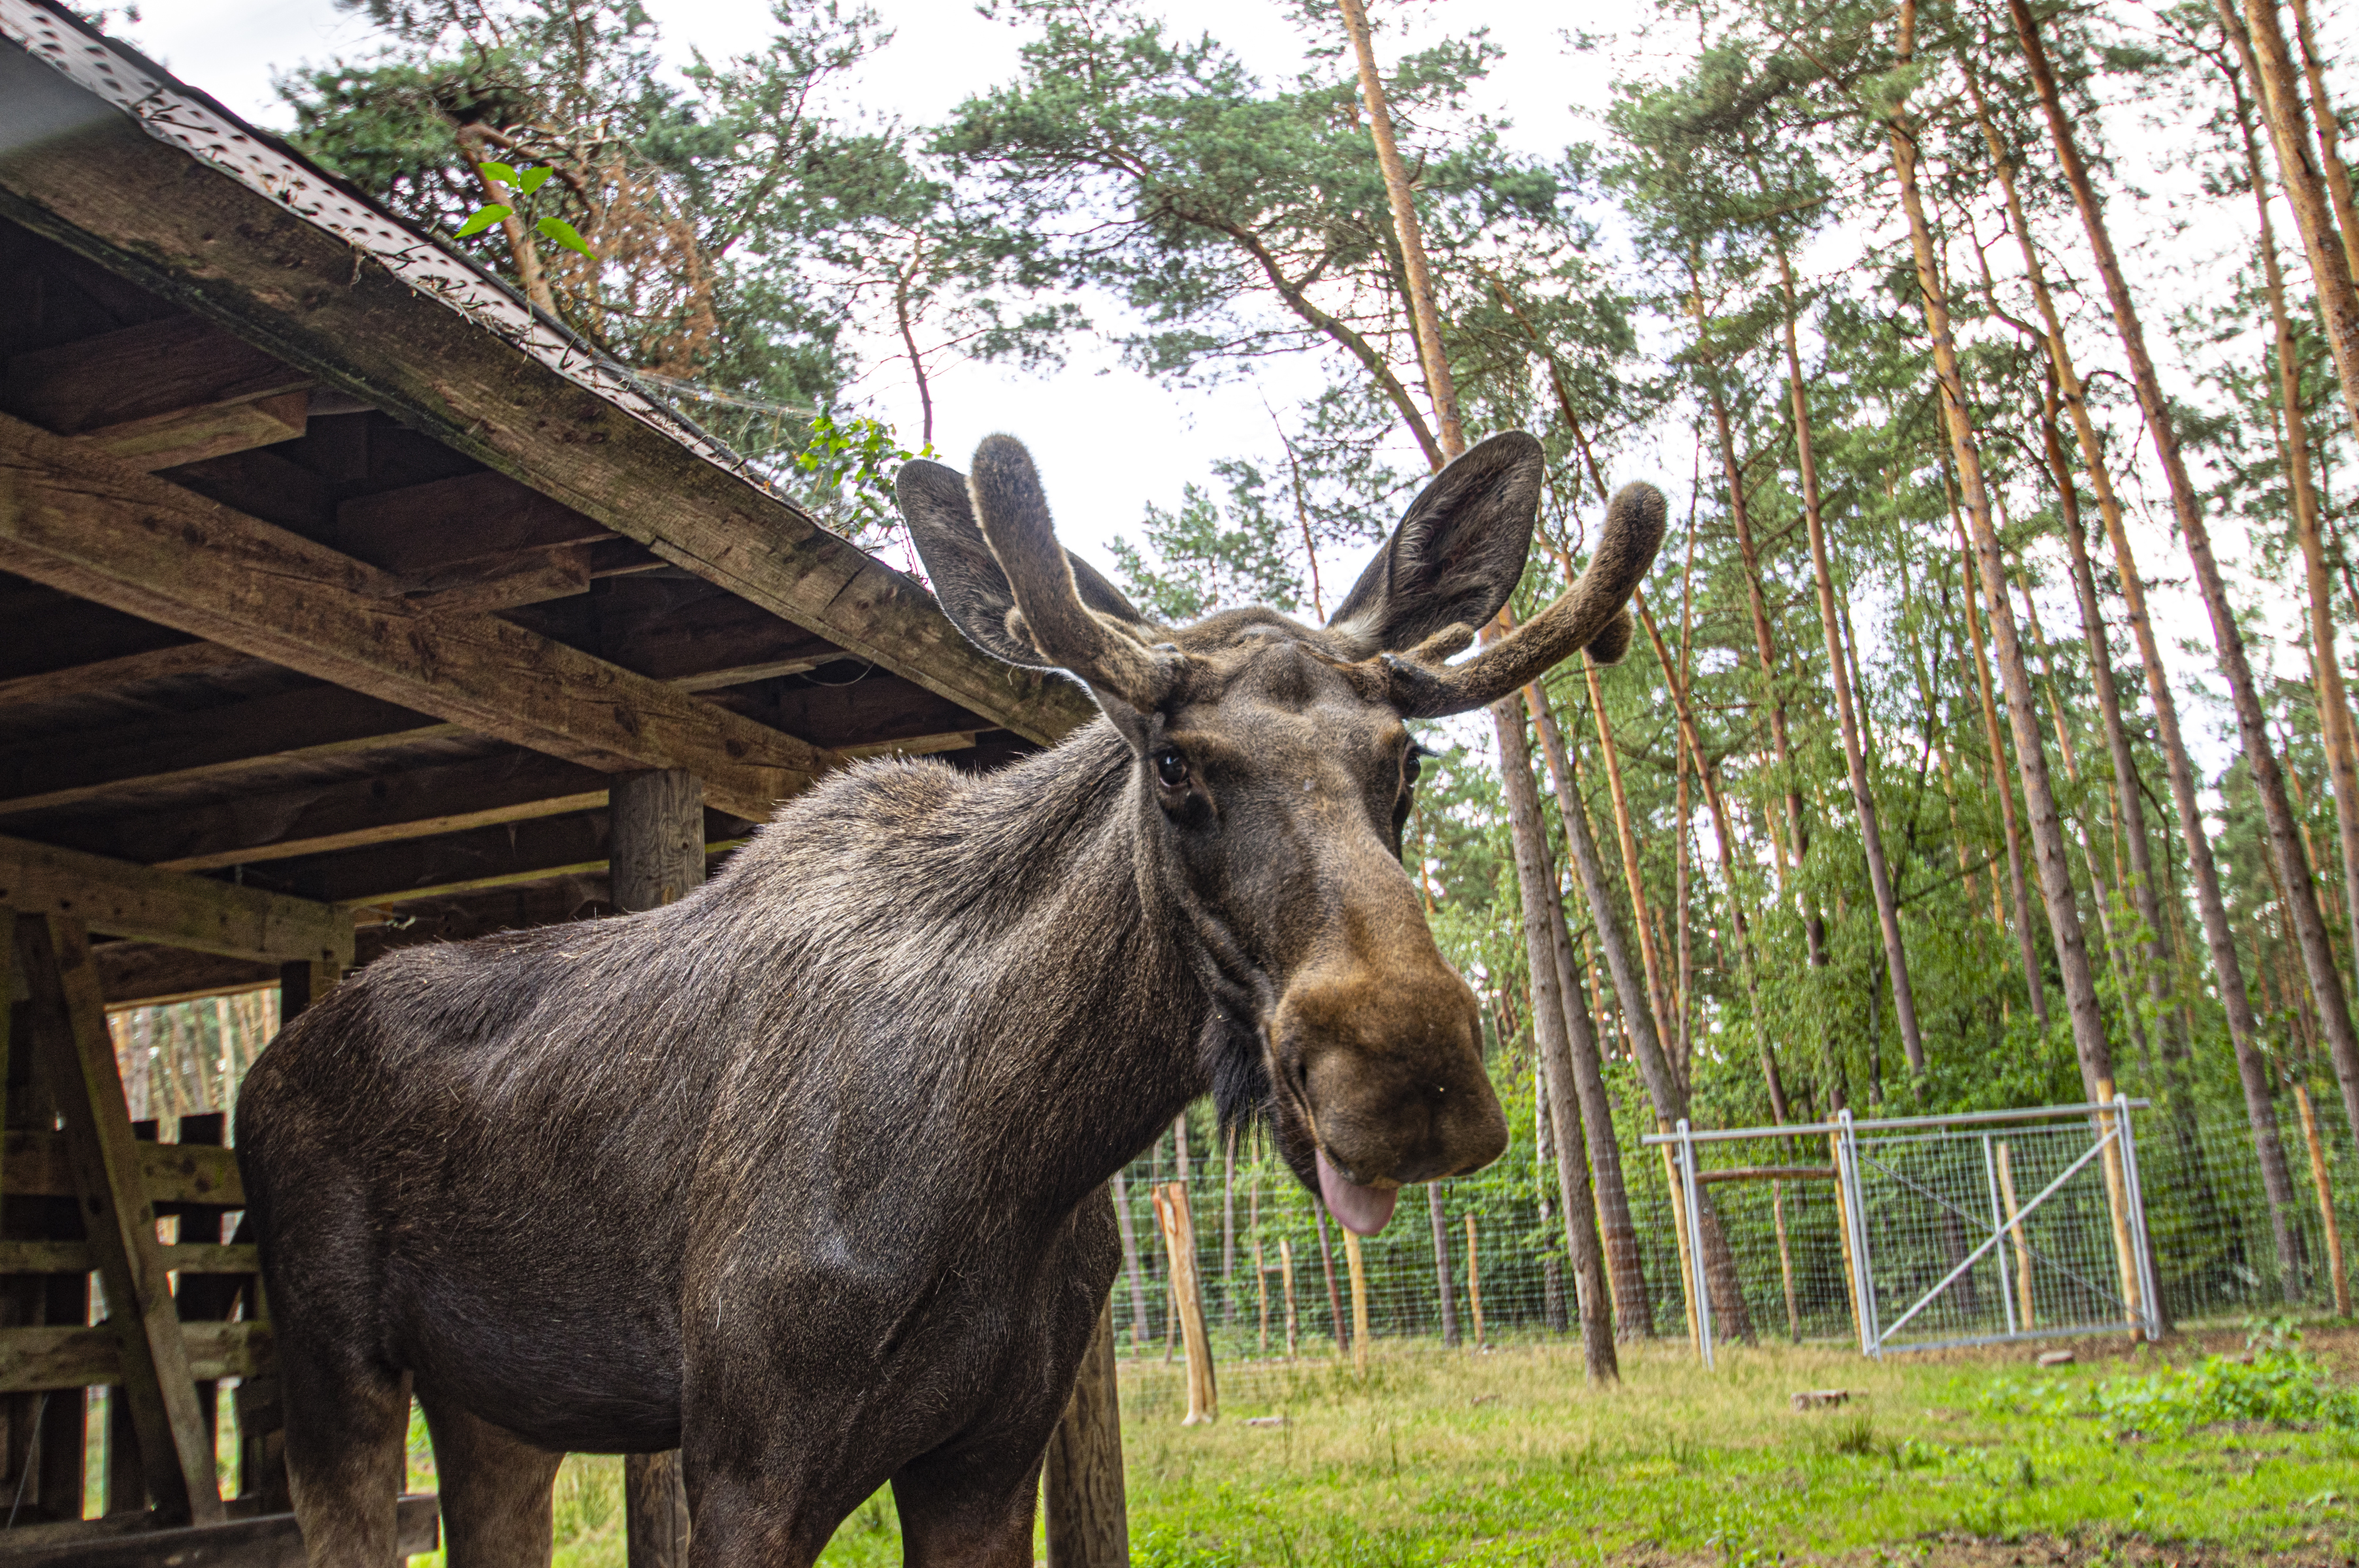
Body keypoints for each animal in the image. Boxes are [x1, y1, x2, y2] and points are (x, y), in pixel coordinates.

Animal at [235, 429, 1660, 1565]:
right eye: (1175, 767)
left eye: (1403, 762)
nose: (1410, 1072)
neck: (1021, 1155)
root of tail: (263, 1064)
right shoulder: (743, 1465)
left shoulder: (988, 1458)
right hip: (327, 1367)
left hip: (495, 1405)